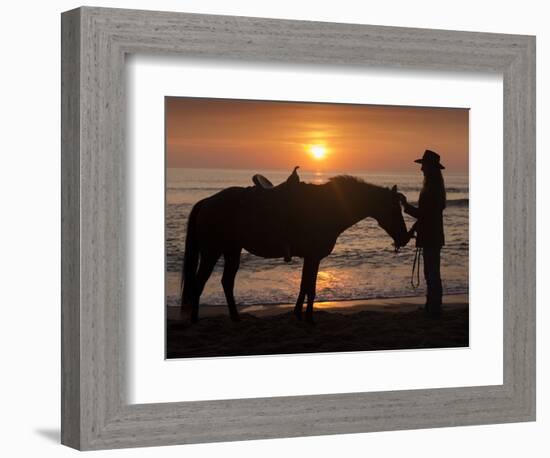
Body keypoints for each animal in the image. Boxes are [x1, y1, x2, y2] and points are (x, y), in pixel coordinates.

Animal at [181, 174, 410, 322]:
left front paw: (299, 314)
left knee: (226, 282)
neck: (328, 206)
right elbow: (310, 288)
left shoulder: (311, 257)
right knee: (199, 283)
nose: (405, 237)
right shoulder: (314, 257)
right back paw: (195, 319)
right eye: (394, 209)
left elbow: (304, 286)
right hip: (211, 252)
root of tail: (207, 202)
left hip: (232, 251)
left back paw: (236, 317)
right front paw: (308, 318)